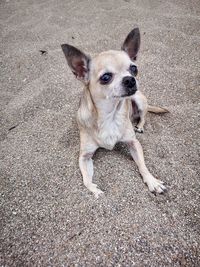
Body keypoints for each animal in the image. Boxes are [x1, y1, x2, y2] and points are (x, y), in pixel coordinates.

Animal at [61, 28, 169, 198]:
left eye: (134, 68)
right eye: (106, 77)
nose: (130, 79)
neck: (109, 114)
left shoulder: (133, 143)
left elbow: (143, 165)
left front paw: (152, 181)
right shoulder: (84, 156)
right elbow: (86, 179)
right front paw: (95, 190)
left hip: (138, 99)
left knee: (143, 116)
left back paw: (140, 126)